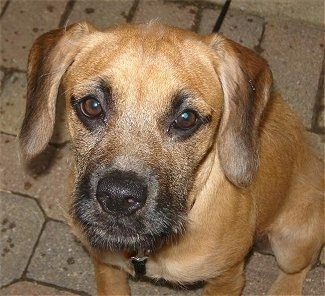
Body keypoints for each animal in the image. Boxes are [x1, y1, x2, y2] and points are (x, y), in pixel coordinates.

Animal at [19, 23, 322, 296]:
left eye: (186, 118)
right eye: (91, 106)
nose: (117, 197)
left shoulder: (227, 278)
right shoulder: (106, 265)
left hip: (291, 244)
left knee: (301, 266)